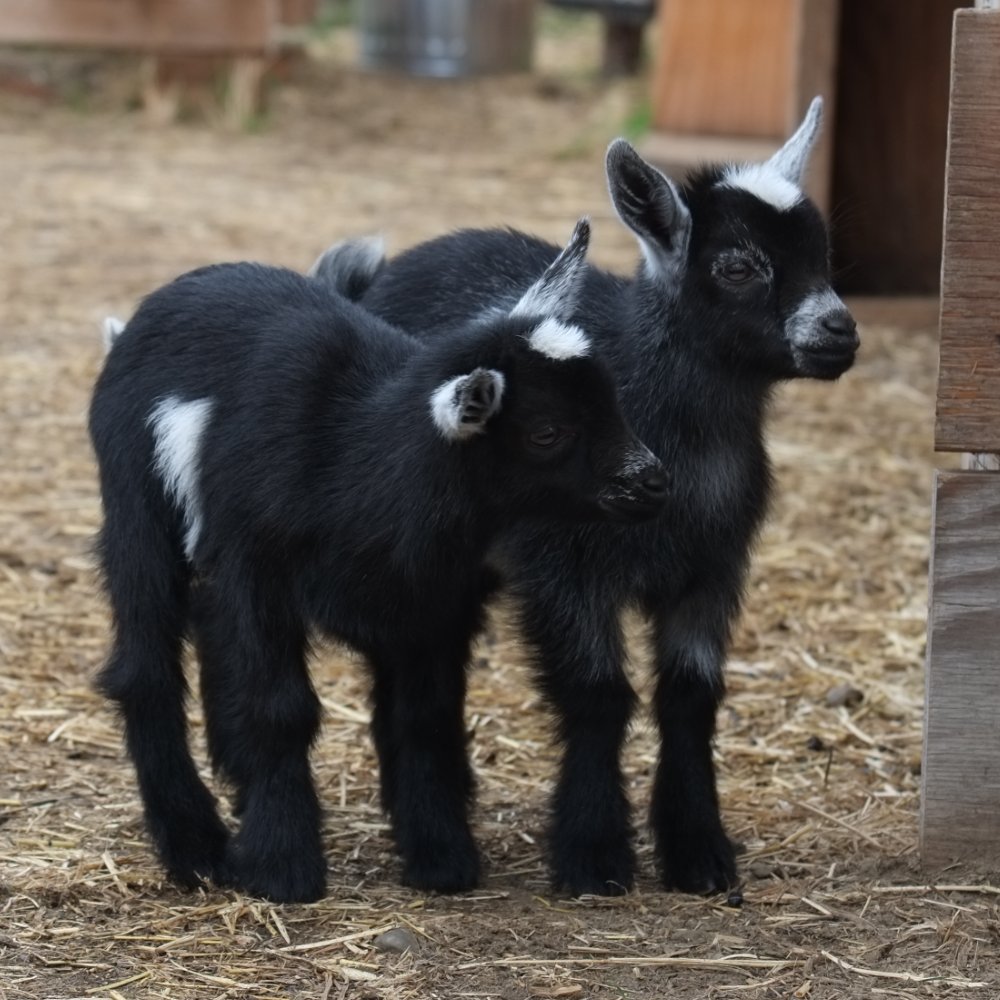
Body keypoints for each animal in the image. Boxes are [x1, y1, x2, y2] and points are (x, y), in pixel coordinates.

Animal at [88, 220, 668, 903]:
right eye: (547, 432)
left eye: (612, 399)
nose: (652, 483)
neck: (349, 457)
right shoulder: (255, 572)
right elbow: (278, 709)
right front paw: (282, 866)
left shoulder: (432, 603)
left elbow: (424, 717)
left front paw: (441, 858)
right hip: (138, 517)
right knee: (144, 667)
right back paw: (193, 846)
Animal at [310, 98, 859, 897]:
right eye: (737, 266)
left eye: (823, 253)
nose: (839, 330)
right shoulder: (565, 568)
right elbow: (598, 694)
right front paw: (593, 854)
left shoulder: (713, 569)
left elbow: (689, 697)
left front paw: (699, 851)